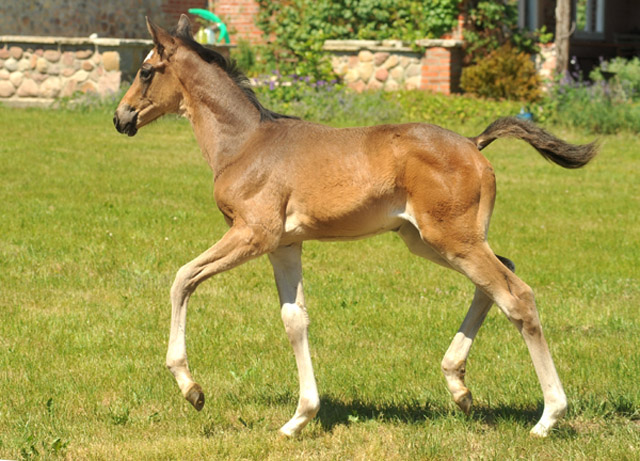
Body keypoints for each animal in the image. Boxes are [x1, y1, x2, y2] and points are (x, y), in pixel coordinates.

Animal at [114, 16, 596, 436]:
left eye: (144, 70)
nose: (120, 118)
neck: (246, 143)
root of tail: (474, 144)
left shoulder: (253, 233)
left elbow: (183, 278)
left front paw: (191, 388)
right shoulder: (284, 245)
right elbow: (294, 319)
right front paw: (298, 418)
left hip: (452, 240)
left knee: (517, 296)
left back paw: (548, 417)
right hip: (430, 241)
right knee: (498, 279)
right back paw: (459, 387)